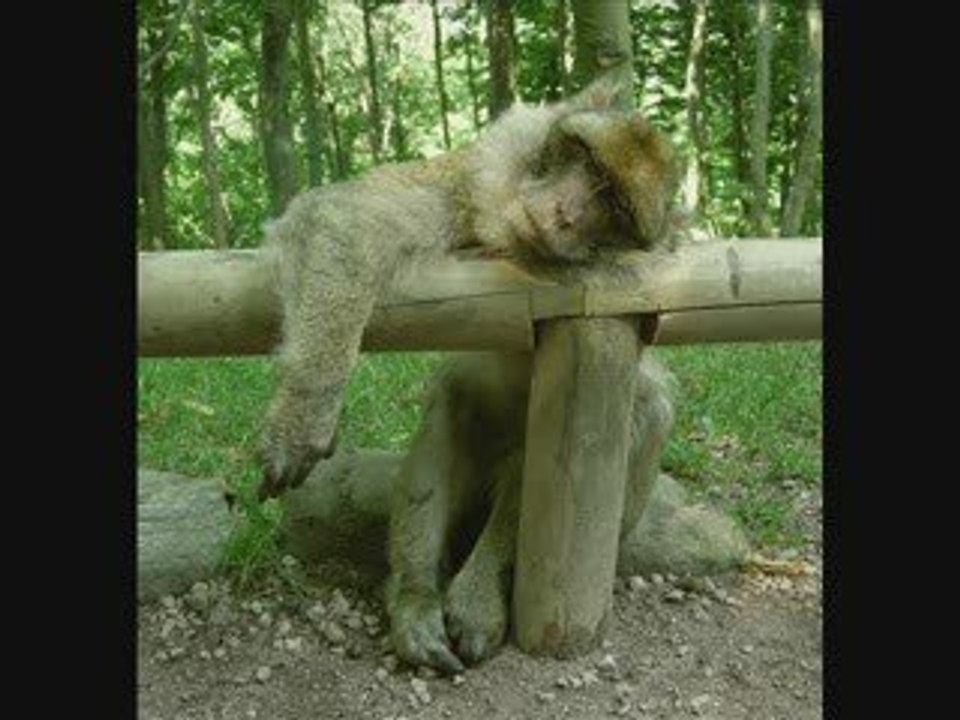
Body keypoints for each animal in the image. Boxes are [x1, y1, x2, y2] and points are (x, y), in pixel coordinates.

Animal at [256, 76, 681, 501]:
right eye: (589, 162)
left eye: (615, 206)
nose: (565, 214)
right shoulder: (462, 181)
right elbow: (346, 215)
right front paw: (306, 411)